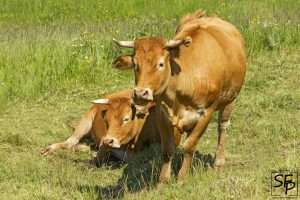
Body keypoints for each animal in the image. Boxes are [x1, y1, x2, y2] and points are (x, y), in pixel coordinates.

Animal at [40, 89, 179, 162]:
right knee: (69, 142)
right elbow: (100, 156)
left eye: (126, 118)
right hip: (85, 121)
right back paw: (50, 149)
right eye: (106, 120)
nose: (108, 141)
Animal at [112, 10, 246, 181]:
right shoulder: (162, 114)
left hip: (230, 99)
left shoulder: (206, 113)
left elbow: (190, 145)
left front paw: (182, 177)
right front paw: (163, 179)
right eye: (135, 64)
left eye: (161, 64)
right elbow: (168, 148)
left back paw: (218, 162)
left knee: (223, 126)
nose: (141, 93)